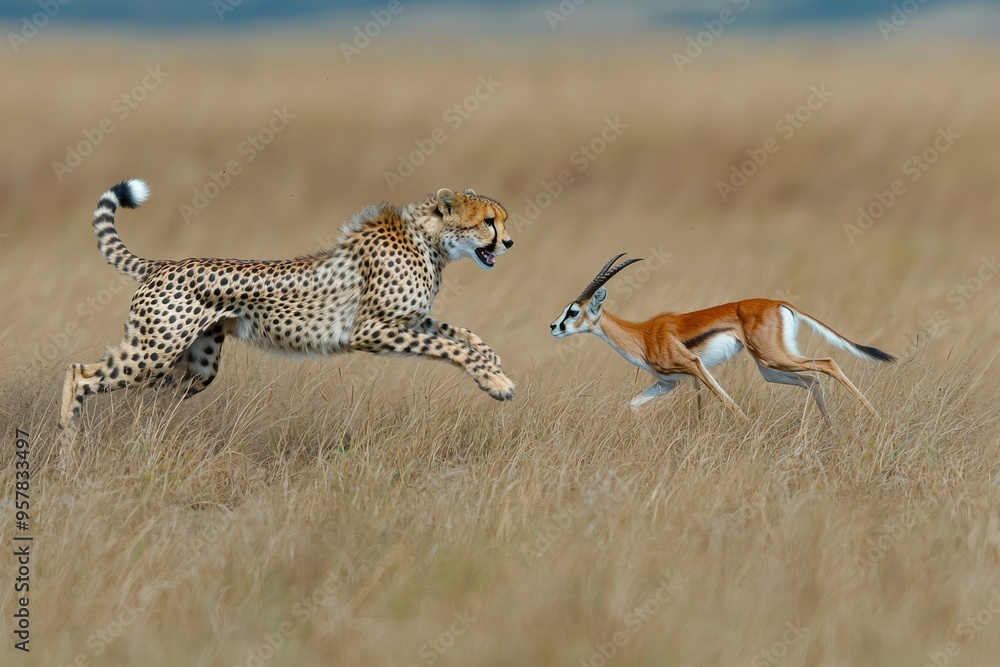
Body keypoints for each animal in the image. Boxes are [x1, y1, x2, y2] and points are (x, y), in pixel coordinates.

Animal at [59, 180, 516, 446]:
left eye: (502, 221)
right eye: (489, 222)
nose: (509, 243)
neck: (428, 241)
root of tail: (162, 264)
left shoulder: (410, 321)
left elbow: (463, 334)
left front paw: (495, 367)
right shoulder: (370, 330)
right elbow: (453, 348)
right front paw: (496, 383)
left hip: (195, 367)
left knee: (141, 388)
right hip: (154, 351)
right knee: (80, 373)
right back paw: (66, 448)